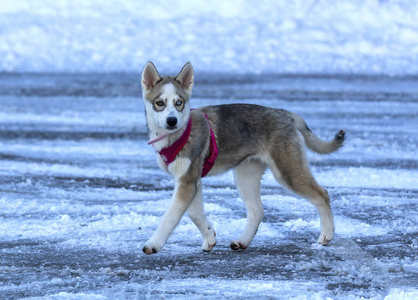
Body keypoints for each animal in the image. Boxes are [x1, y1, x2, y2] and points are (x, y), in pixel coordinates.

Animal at [141, 62, 346, 254]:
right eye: (159, 103)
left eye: (179, 103)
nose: (172, 121)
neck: (178, 135)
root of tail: (282, 112)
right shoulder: (191, 181)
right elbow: (194, 213)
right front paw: (210, 237)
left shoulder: (188, 182)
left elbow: (170, 216)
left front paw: (153, 244)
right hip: (246, 176)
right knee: (257, 211)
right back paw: (243, 241)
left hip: (288, 172)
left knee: (322, 195)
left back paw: (326, 235)